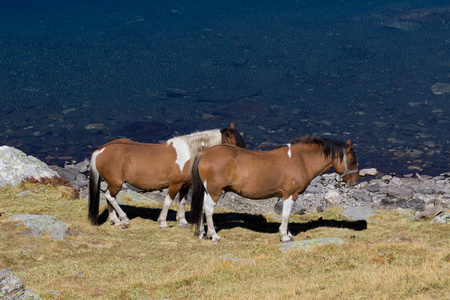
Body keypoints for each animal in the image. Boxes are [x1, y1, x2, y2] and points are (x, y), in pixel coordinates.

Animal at [88, 123, 246, 229]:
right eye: (237, 145)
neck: (189, 153)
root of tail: (102, 149)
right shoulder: (174, 184)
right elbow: (168, 202)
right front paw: (163, 222)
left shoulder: (185, 185)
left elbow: (182, 202)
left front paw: (182, 221)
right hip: (116, 183)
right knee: (110, 196)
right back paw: (124, 219)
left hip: (112, 183)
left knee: (109, 197)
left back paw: (115, 220)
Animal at [190, 137, 358, 243]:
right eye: (352, 160)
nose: (355, 181)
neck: (299, 160)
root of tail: (205, 153)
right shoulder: (290, 194)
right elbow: (286, 215)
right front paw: (284, 236)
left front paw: (288, 233)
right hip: (215, 192)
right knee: (208, 210)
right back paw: (214, 235)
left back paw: (202, 233)